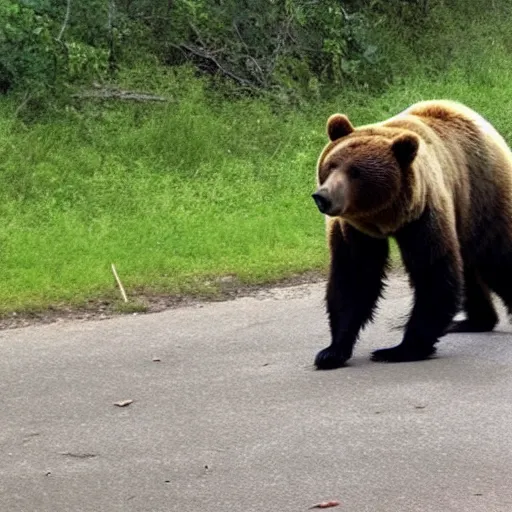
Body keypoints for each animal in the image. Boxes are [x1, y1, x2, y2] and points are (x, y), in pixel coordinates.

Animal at [312, 99, 512, 368]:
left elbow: (433, 274)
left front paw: (397, 350)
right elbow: (354, 278)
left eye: (355, 172)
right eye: (331, 165)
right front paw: (331, 351)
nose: (322, 197)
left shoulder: (424, 215)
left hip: (482, 197)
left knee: (496, 259)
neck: (382, 218)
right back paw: (472, 321)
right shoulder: (352, 228)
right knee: (468, 266)